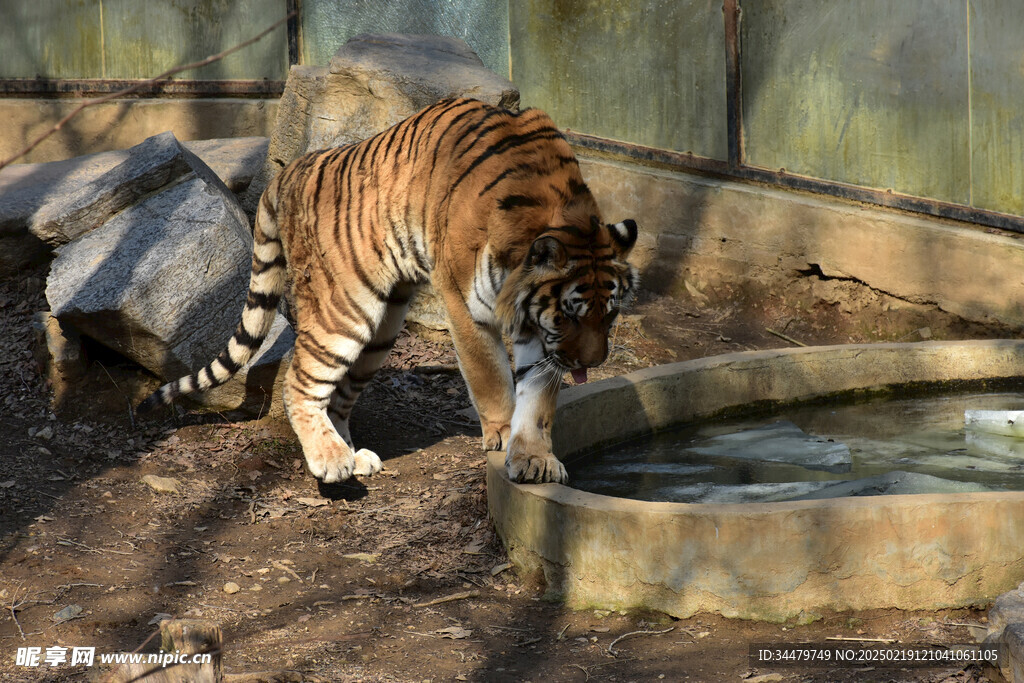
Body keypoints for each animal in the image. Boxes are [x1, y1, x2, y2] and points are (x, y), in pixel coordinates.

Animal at [142, 97, 638, 485]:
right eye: (572, 313)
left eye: (609, 314)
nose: (594, 363)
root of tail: (292, 169)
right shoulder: (465, 304)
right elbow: (491, 376)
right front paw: (499, 433)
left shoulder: (535, 325)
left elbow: (537, 394)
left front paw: (534, 457)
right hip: (345, 311)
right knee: (301, 381)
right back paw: (330, 461)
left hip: (383, 329)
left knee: (339, 397)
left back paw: (352, 454)